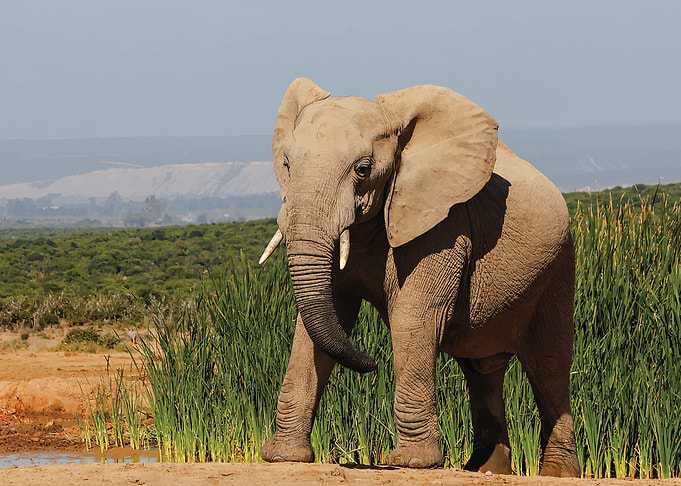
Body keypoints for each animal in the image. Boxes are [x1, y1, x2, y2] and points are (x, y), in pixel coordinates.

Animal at [258, 78, 580, 477]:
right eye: (287, 164)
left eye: (363, 170)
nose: (372, 364)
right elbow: (317, 323)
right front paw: (283, 456)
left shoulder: (443, 224)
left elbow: (413, 318)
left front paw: (413, 463)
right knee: (483, 369)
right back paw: (484, 469)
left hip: (559, 264)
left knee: (548, 366)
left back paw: (557, 473)